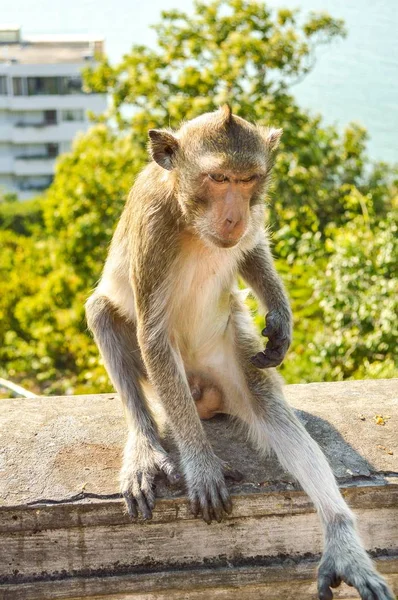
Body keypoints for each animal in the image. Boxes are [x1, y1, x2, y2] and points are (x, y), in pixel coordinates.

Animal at [85, 105, 394, 596]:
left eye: (248, 180)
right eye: (218, 178)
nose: (234, 218)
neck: (189, 219)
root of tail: (204, 398)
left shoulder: (253, 216)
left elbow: (252, 252)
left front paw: (281, 317)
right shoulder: (153, 225)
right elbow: (153, 335)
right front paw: (200, 464)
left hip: (229, 355)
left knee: (266, 402)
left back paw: (342, 538)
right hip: (170, 382)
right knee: (102, 312)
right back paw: (145, 444)